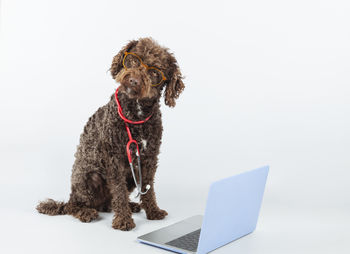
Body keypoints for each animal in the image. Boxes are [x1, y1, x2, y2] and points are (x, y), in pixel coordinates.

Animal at [36, 37, 186, 230]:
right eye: (134, 60)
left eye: (154, 73)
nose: (133, 80)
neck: (135, 115)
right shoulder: (114, 160)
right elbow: (119, 191)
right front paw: (123, 220)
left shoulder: (149, 158)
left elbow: (148, 188)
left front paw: (153, 211)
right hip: (88, 179)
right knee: (74, 206)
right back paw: (86, 212)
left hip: (131, 176)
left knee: (109, 203)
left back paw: (130, 205)